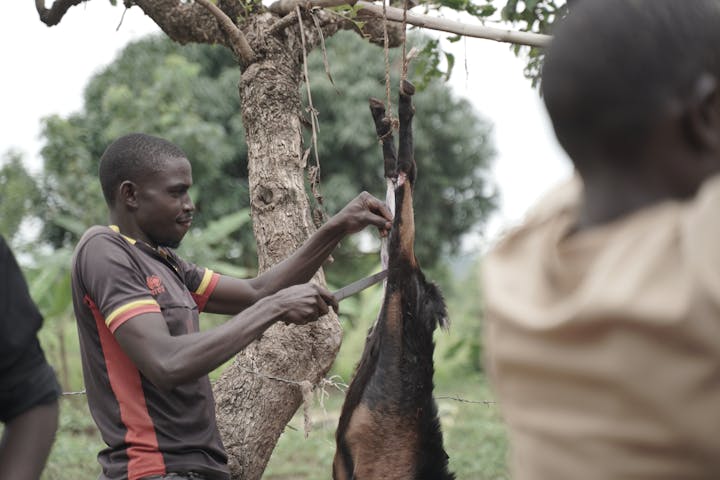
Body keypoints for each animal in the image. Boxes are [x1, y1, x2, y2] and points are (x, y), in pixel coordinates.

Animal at [333, 80, 455, 480]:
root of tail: (418, 279)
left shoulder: (343, 466)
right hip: (402, 269)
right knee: (404, 178)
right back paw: (401, 107)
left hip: (393, 276)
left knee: (398, 179)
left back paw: (384, 116)